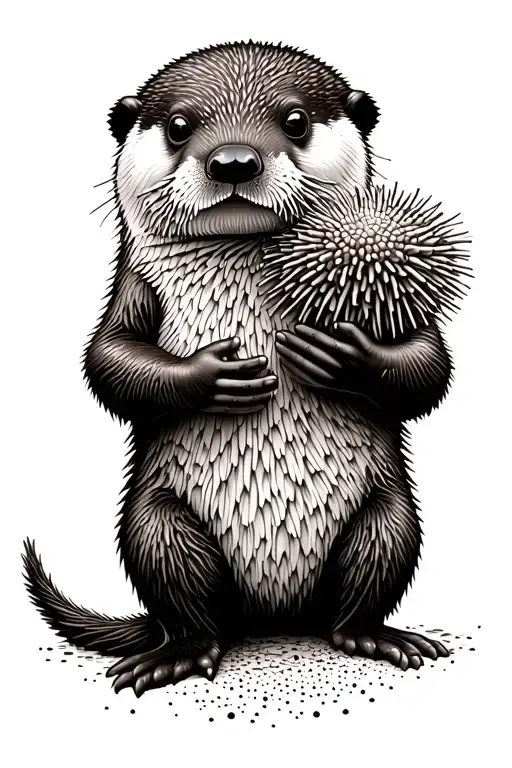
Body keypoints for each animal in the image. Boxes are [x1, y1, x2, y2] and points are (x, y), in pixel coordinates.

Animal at [23, 41, 451, 698]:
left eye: (296, 121)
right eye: (179, 126)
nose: (232, 161)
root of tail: (274, 614)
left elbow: (428, 365)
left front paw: (338, 354)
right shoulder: (134, 285)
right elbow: (109, 358)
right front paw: (216, 376)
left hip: (389, 515)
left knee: (372, 573)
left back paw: (375, 637)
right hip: (156, 523)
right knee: (182, 592)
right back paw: (177, 653)